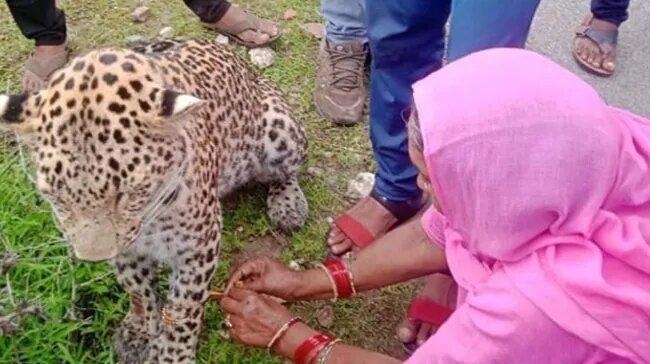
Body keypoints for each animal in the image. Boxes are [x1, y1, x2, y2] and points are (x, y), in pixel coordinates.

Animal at [0, 38, 308, 362]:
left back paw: (289, 205)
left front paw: (172, 353)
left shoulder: (198, 246)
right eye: (56, 197)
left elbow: (184, 308)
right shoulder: (126, 248)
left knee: (287, 172)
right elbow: (137, 288)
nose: (94, 258)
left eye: (129, 193)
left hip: (280, 130)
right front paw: (139, 331)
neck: (150, 216)